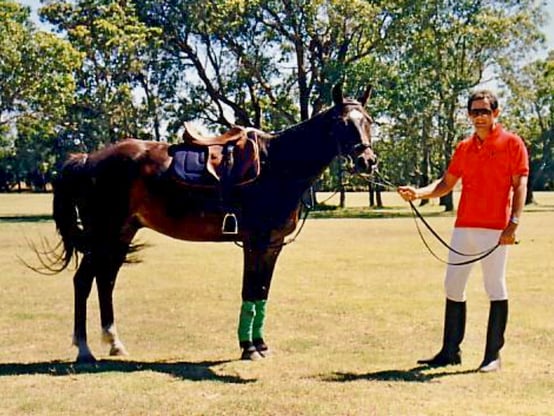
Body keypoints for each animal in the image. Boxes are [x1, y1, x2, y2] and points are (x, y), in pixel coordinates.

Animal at [48, 83, 376, 360]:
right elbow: (250, 290)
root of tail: (88, 159)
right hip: (102, 234)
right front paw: (248, 347)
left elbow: (262, 291)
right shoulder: (255, 242)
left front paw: (260, 344)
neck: (277, 165)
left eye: (369, 121)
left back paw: (114, 342)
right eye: (343, 124)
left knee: (105, 280)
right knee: (83, 281)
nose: (368, 161)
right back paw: (84, 349)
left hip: (119, 235)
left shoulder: (273, 244)